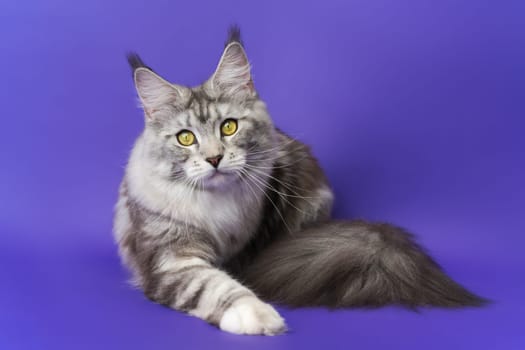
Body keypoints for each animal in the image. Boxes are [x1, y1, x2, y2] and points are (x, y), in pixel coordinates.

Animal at [112, 26, 486, 334]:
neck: (215, 203)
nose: (214, 158)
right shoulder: (171, 257)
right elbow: (210, 283)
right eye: (186, 138)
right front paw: (256, 313)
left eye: (229, 127)